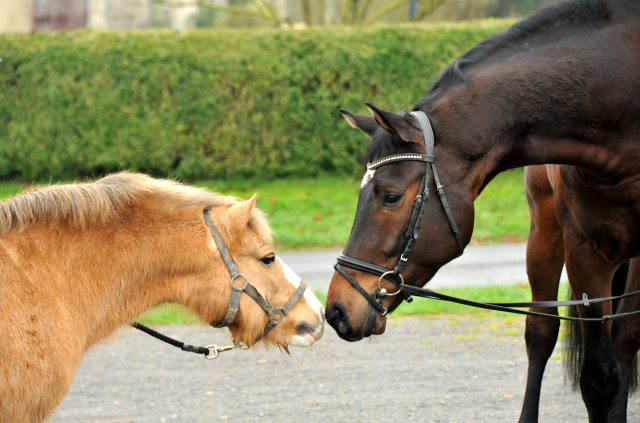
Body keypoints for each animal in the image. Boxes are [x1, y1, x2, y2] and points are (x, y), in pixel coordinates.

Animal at [324, 1, 640, 422]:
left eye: (389, 196)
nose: (337, 310)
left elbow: (615, 360)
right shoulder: (585, 253)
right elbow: (598, 377)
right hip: (544, 231)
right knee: (539, 334)